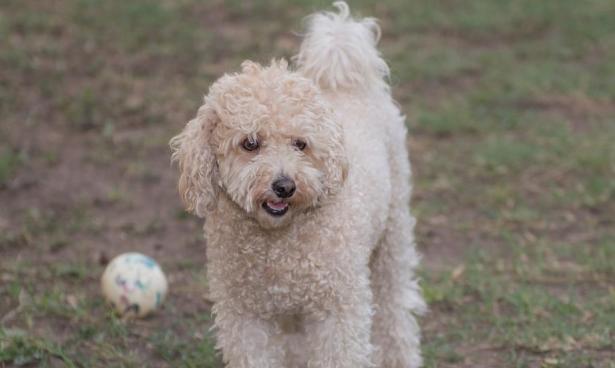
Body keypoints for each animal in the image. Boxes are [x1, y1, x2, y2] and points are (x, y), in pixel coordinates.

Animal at [171, 1, 426, 366]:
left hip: (392, 236)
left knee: (394, 310)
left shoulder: (338, 309)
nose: (284, 186)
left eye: (300, 144)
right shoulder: (246, 317)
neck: (279, 247)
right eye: (250, 143)